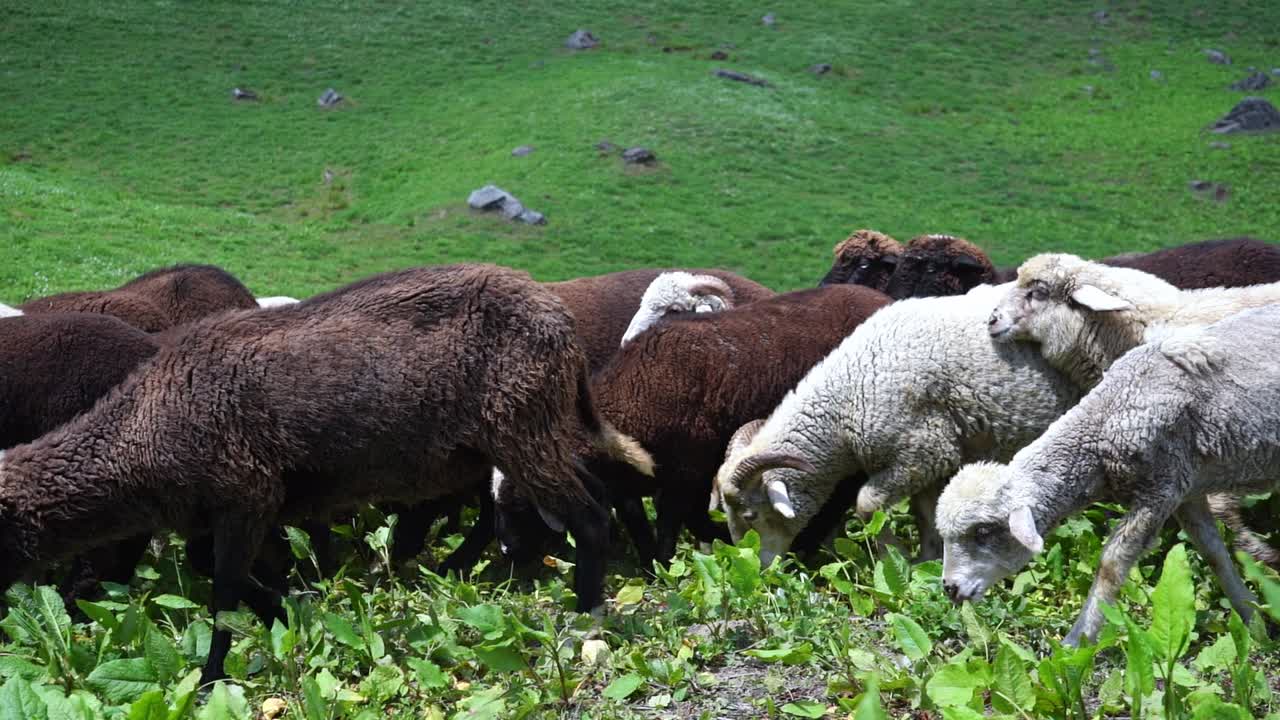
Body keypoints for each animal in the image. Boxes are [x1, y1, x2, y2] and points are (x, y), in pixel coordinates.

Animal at [495, 284, 893, 566]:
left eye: (522, 502)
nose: (507, 551)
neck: (634, 395)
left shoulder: (689, 472)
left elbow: (680, 520)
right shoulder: (633, 482)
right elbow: (643, 522)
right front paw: (653, 566)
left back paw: (808, 546)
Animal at [713, 283, 1079, 567]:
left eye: (750, 515)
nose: (756, 569)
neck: (846, 399)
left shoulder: (921, 452)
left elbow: (866, 504)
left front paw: (893, 555)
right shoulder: (938, 459)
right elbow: (927, 512)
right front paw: (926, 562)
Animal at [937, 305, 1280, 645]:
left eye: (982, 532)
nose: (950, 588)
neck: (1106, 418)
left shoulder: (1159, 490)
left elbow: (1111, 565)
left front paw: (1076, 642)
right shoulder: (1186, 489)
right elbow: (1214, 553)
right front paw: (1253, 624)